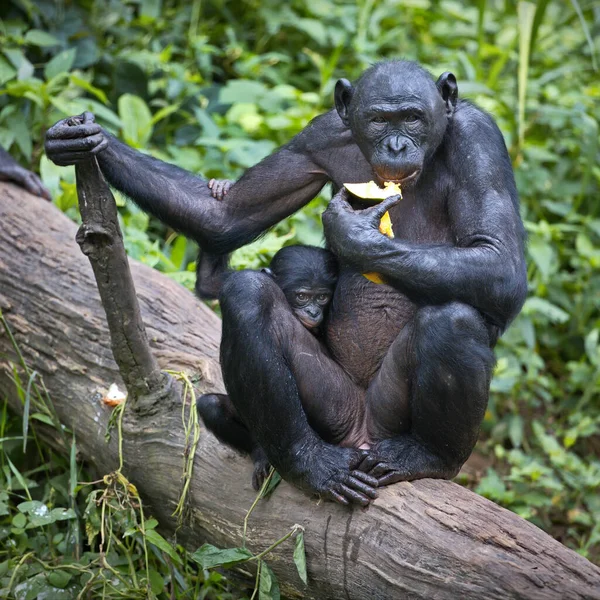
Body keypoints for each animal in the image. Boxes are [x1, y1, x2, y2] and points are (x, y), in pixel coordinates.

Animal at [197, 243, 338, 488]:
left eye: (322, 297)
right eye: (302, 296)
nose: (313, 312)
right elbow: (209, 281)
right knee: (211, 406)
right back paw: (260, 452)